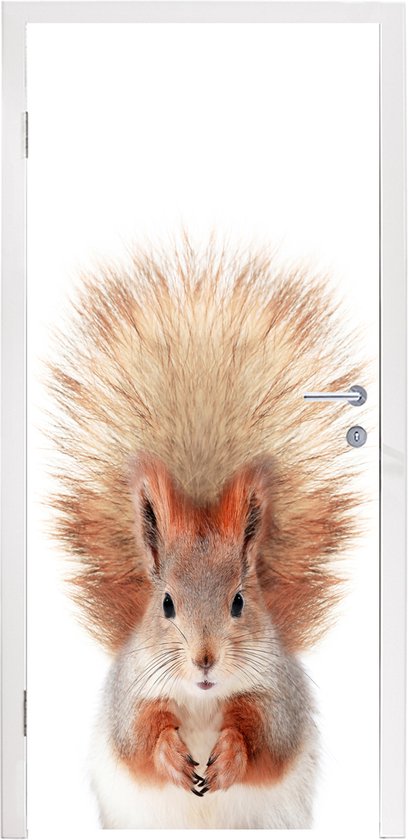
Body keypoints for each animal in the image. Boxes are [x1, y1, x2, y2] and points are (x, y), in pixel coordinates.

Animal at [46, 237, 362, 829]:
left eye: (239, 602)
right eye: (166, 604)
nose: (205, 659)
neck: (201, 697)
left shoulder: (278, 696)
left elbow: (266, 738)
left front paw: (231, 755)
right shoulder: (131, 694)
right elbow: (138, 738)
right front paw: (172, 754)